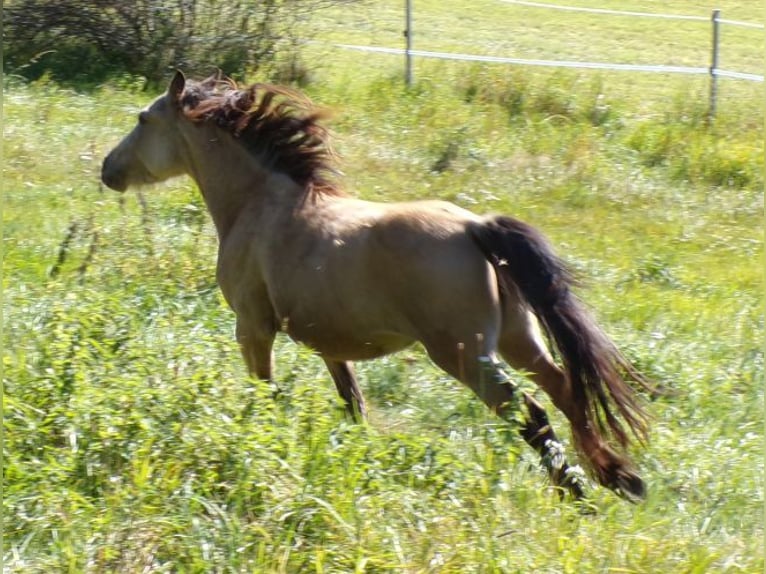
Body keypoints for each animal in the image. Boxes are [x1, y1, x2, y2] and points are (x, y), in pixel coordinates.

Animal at [102, 71, 651, 503]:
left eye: (143, 120)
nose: (108, 170)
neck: (259, 205)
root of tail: (475, 227)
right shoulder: (328, 342)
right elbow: (353, 405)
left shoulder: (252, 328)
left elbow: (266, 393)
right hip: (520, 340)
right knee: (567, 390)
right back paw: (616, 477)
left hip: (465, 356)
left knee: (530, 412)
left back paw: (575, 493)